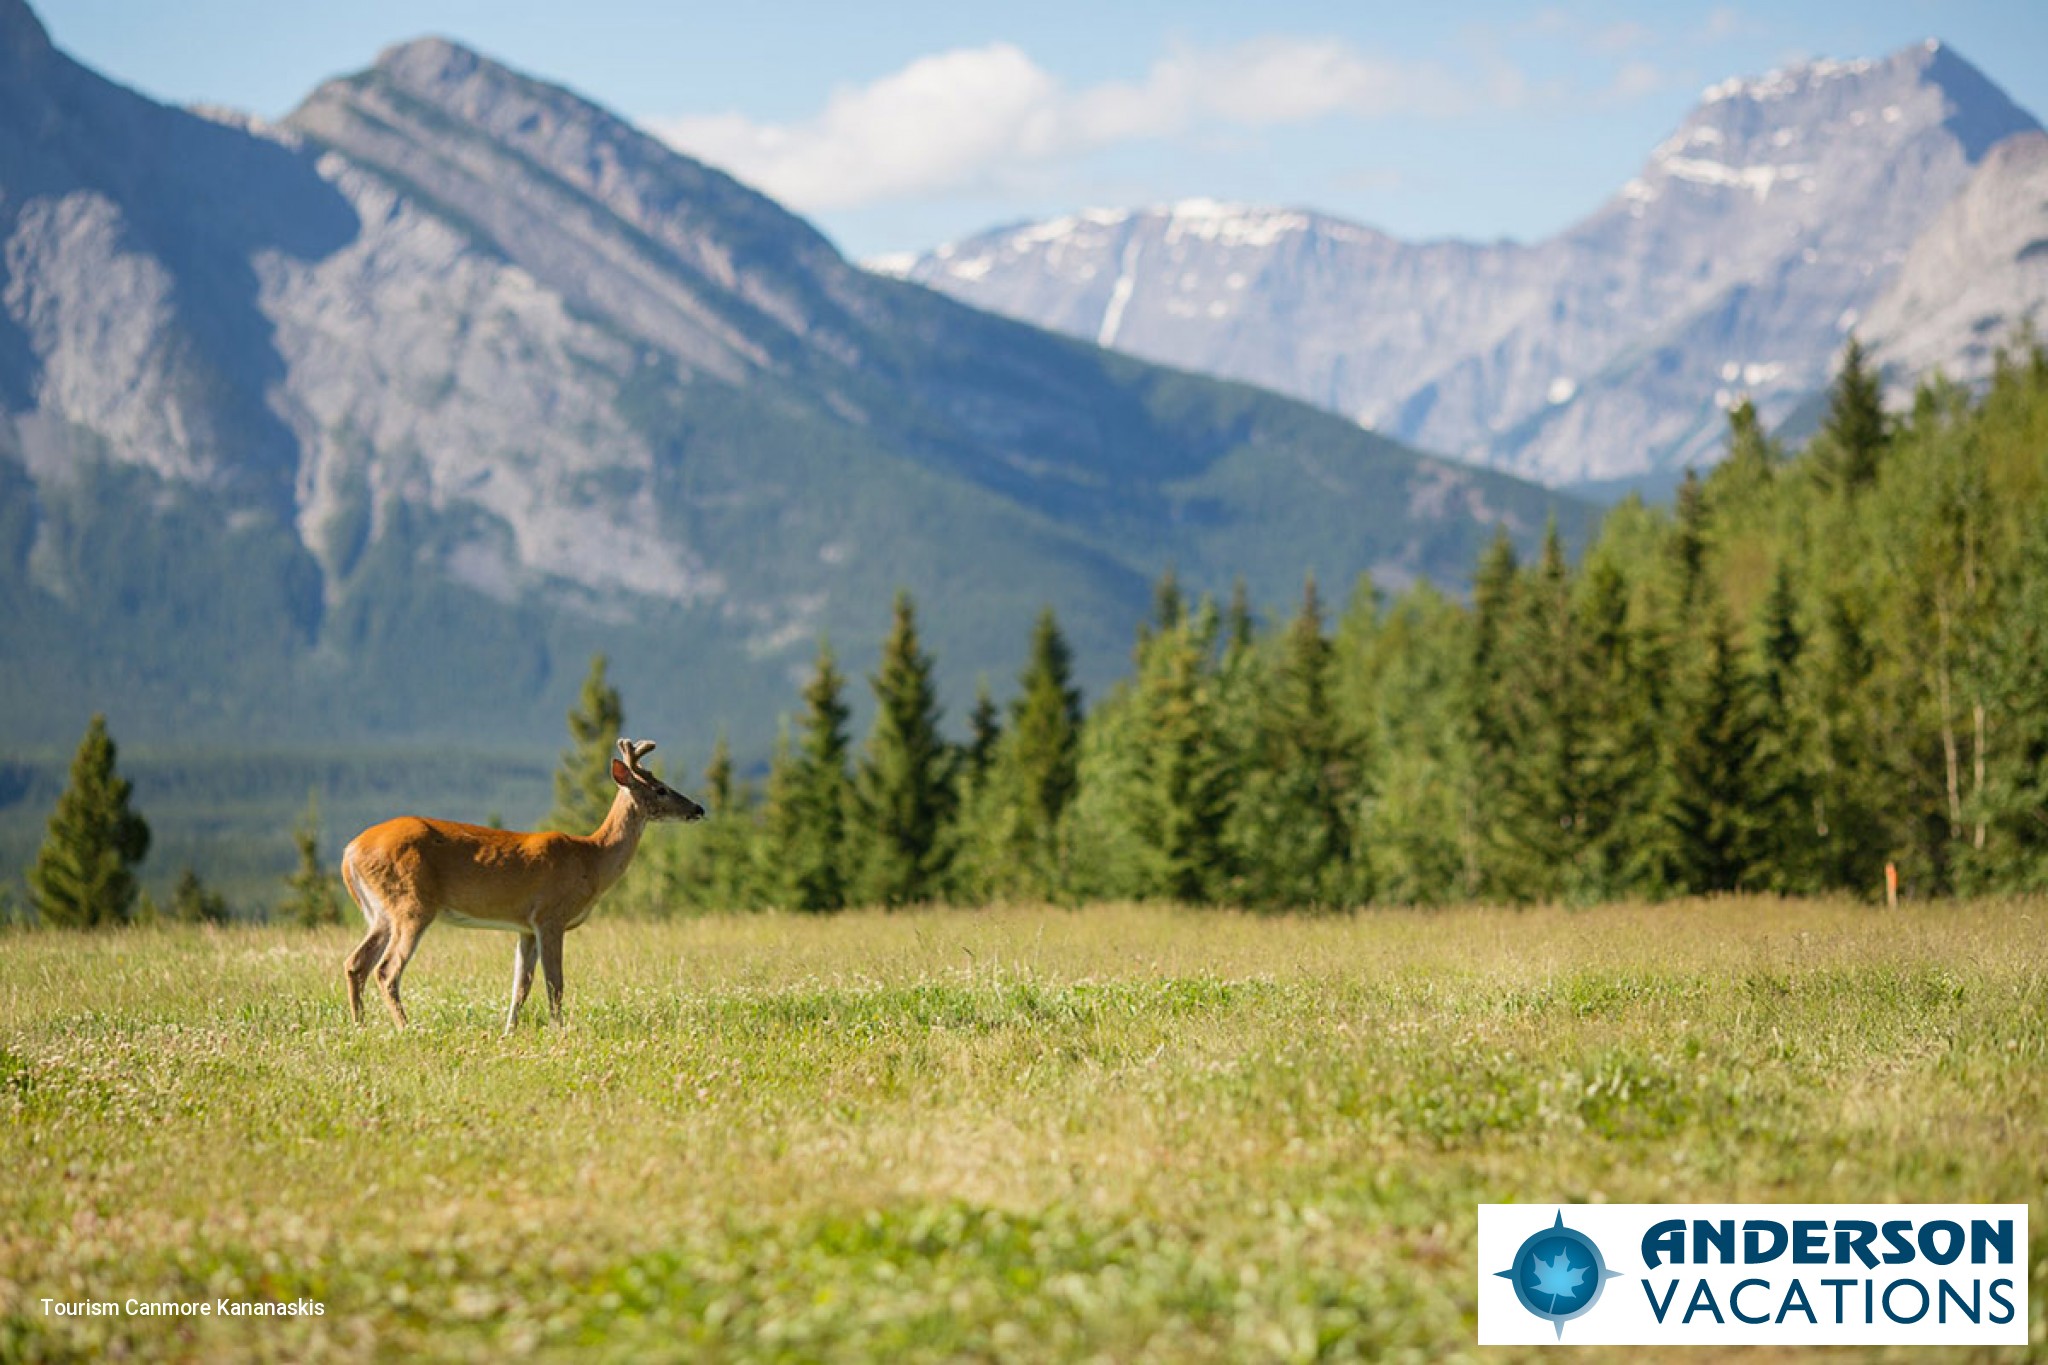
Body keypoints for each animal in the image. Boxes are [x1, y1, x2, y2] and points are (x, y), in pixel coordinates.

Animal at [342, 740, 704, 1031]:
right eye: (660, 789)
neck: (592, 859)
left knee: (356, 964)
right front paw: (559, 1030)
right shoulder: (550, 915)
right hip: (411, 904)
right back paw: (407, 1028)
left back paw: (361, 1026)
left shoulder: (525, 927)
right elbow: (555, 982)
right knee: (386, 970)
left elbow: (521, 986)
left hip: (380, 912)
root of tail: (350, 851)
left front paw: (509, 1032)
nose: (698, 808)